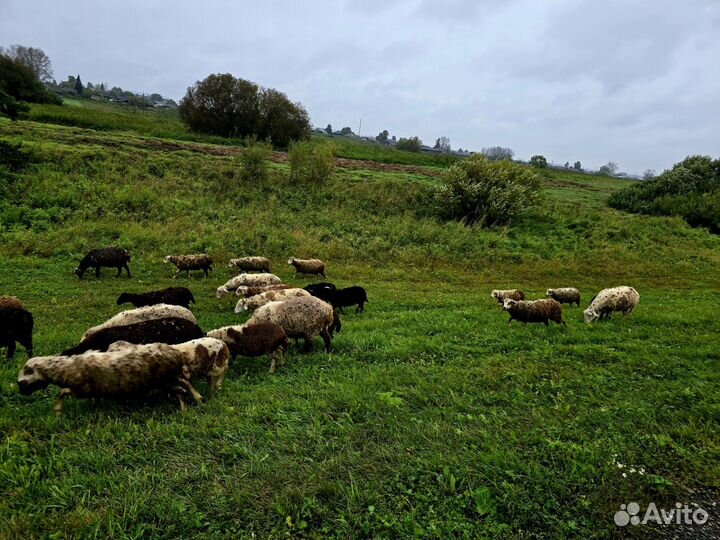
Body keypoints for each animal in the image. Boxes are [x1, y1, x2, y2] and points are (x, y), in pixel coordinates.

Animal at [18, 338, 229, 414]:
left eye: (22, 382)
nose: (20, 392)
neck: (66, 369)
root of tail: (174, 353)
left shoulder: (83, 389)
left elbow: (63, 392)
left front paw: (58, 410)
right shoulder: (93, 390)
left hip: (168, 378)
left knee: (184, 386)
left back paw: (197, 399)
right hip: (166, 379)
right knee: (182, 388)